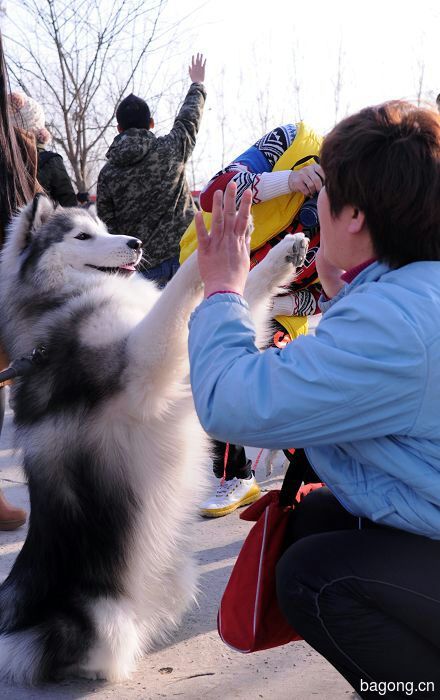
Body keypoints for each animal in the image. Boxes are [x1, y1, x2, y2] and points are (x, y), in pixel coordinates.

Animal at [0, 194, 310, 680]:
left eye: (104, 227)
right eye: (83, 236)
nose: (135, 242)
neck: (61, 301)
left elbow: (235, 295)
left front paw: (280, 253)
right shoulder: (142, 368)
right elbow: (178, 292)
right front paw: (215, 241)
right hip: (101, 621)